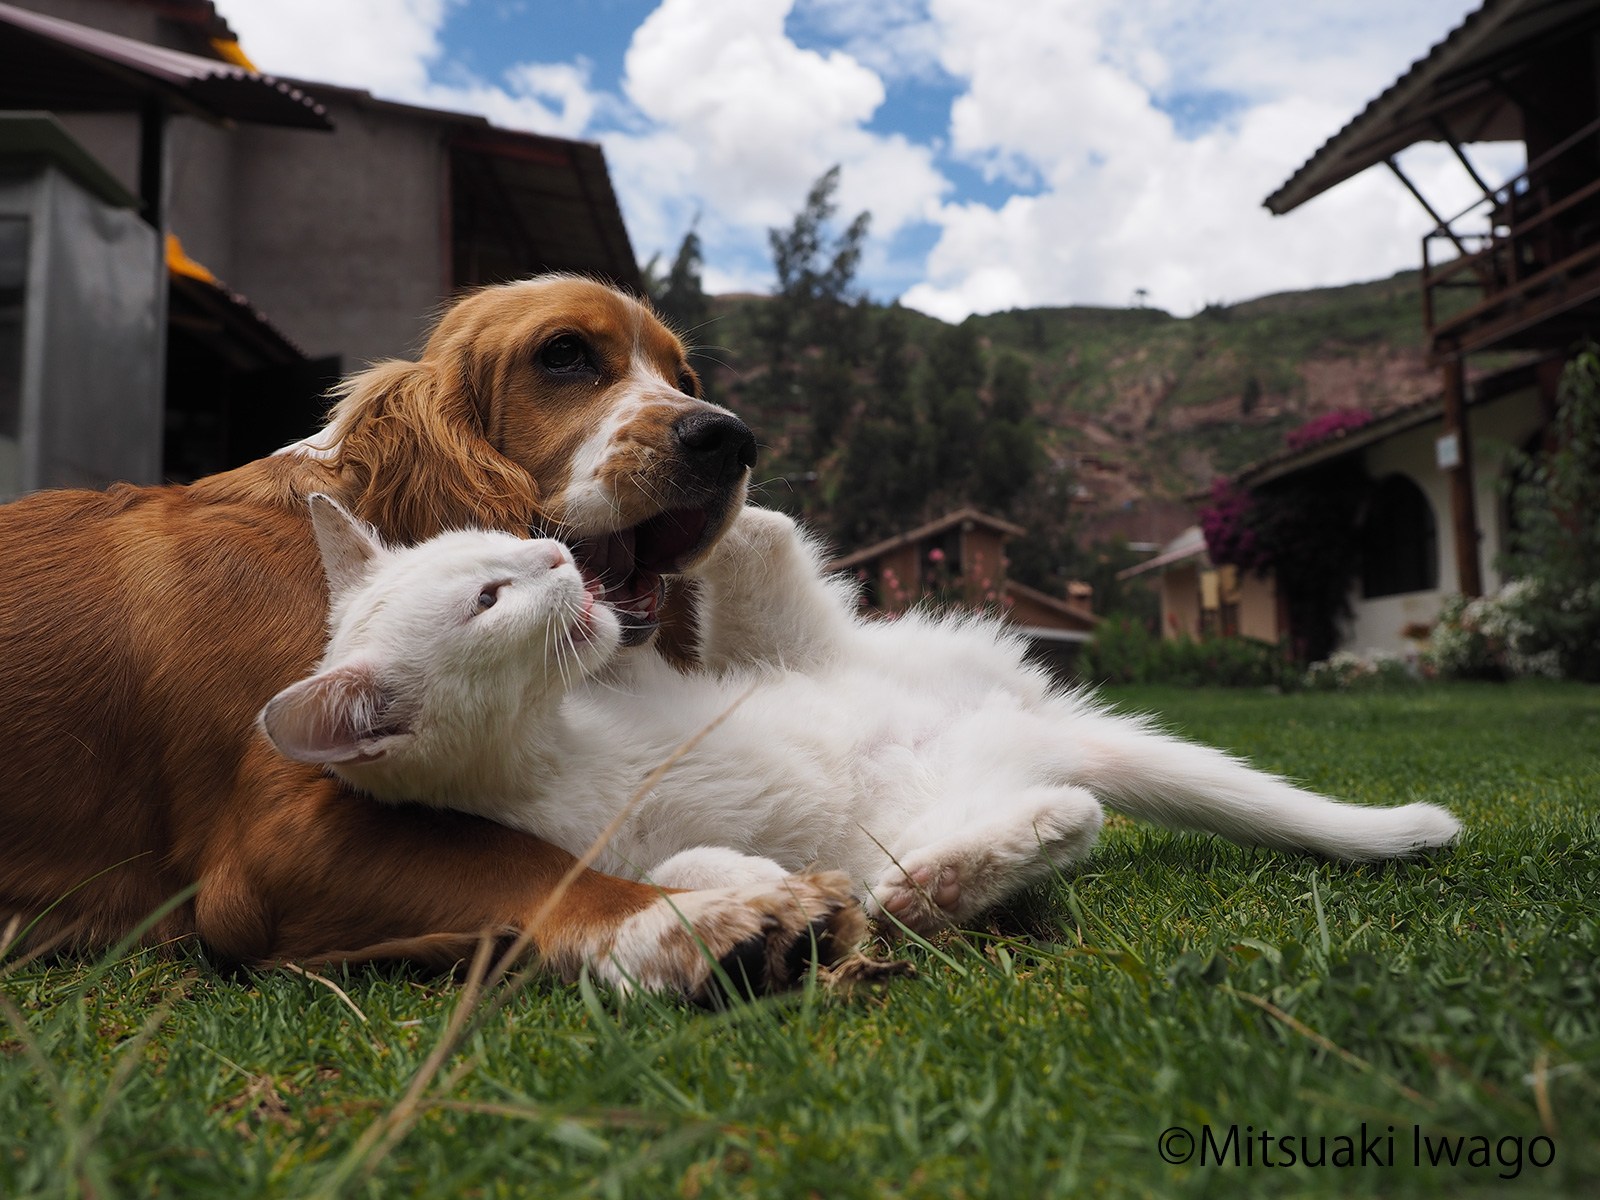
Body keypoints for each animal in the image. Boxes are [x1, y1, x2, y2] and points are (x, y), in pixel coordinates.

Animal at [0, 276, 864, 998]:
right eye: (564, 354)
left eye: (685, 380)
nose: (729, 440)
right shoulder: (269, 843)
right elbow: (528, 862)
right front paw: (691, 922)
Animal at [259, 492, 1465, 934]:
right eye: (489, 600)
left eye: (500, 553)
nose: (557, 555)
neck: (560, 737)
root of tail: (1022, 723)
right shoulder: (588, 849)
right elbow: (682, 870)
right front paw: (754, 887)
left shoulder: (636, 679)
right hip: (921, 807)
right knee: (1070, 819)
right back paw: (947, 878)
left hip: (798, 647)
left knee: (769, 533)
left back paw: (710, 505)